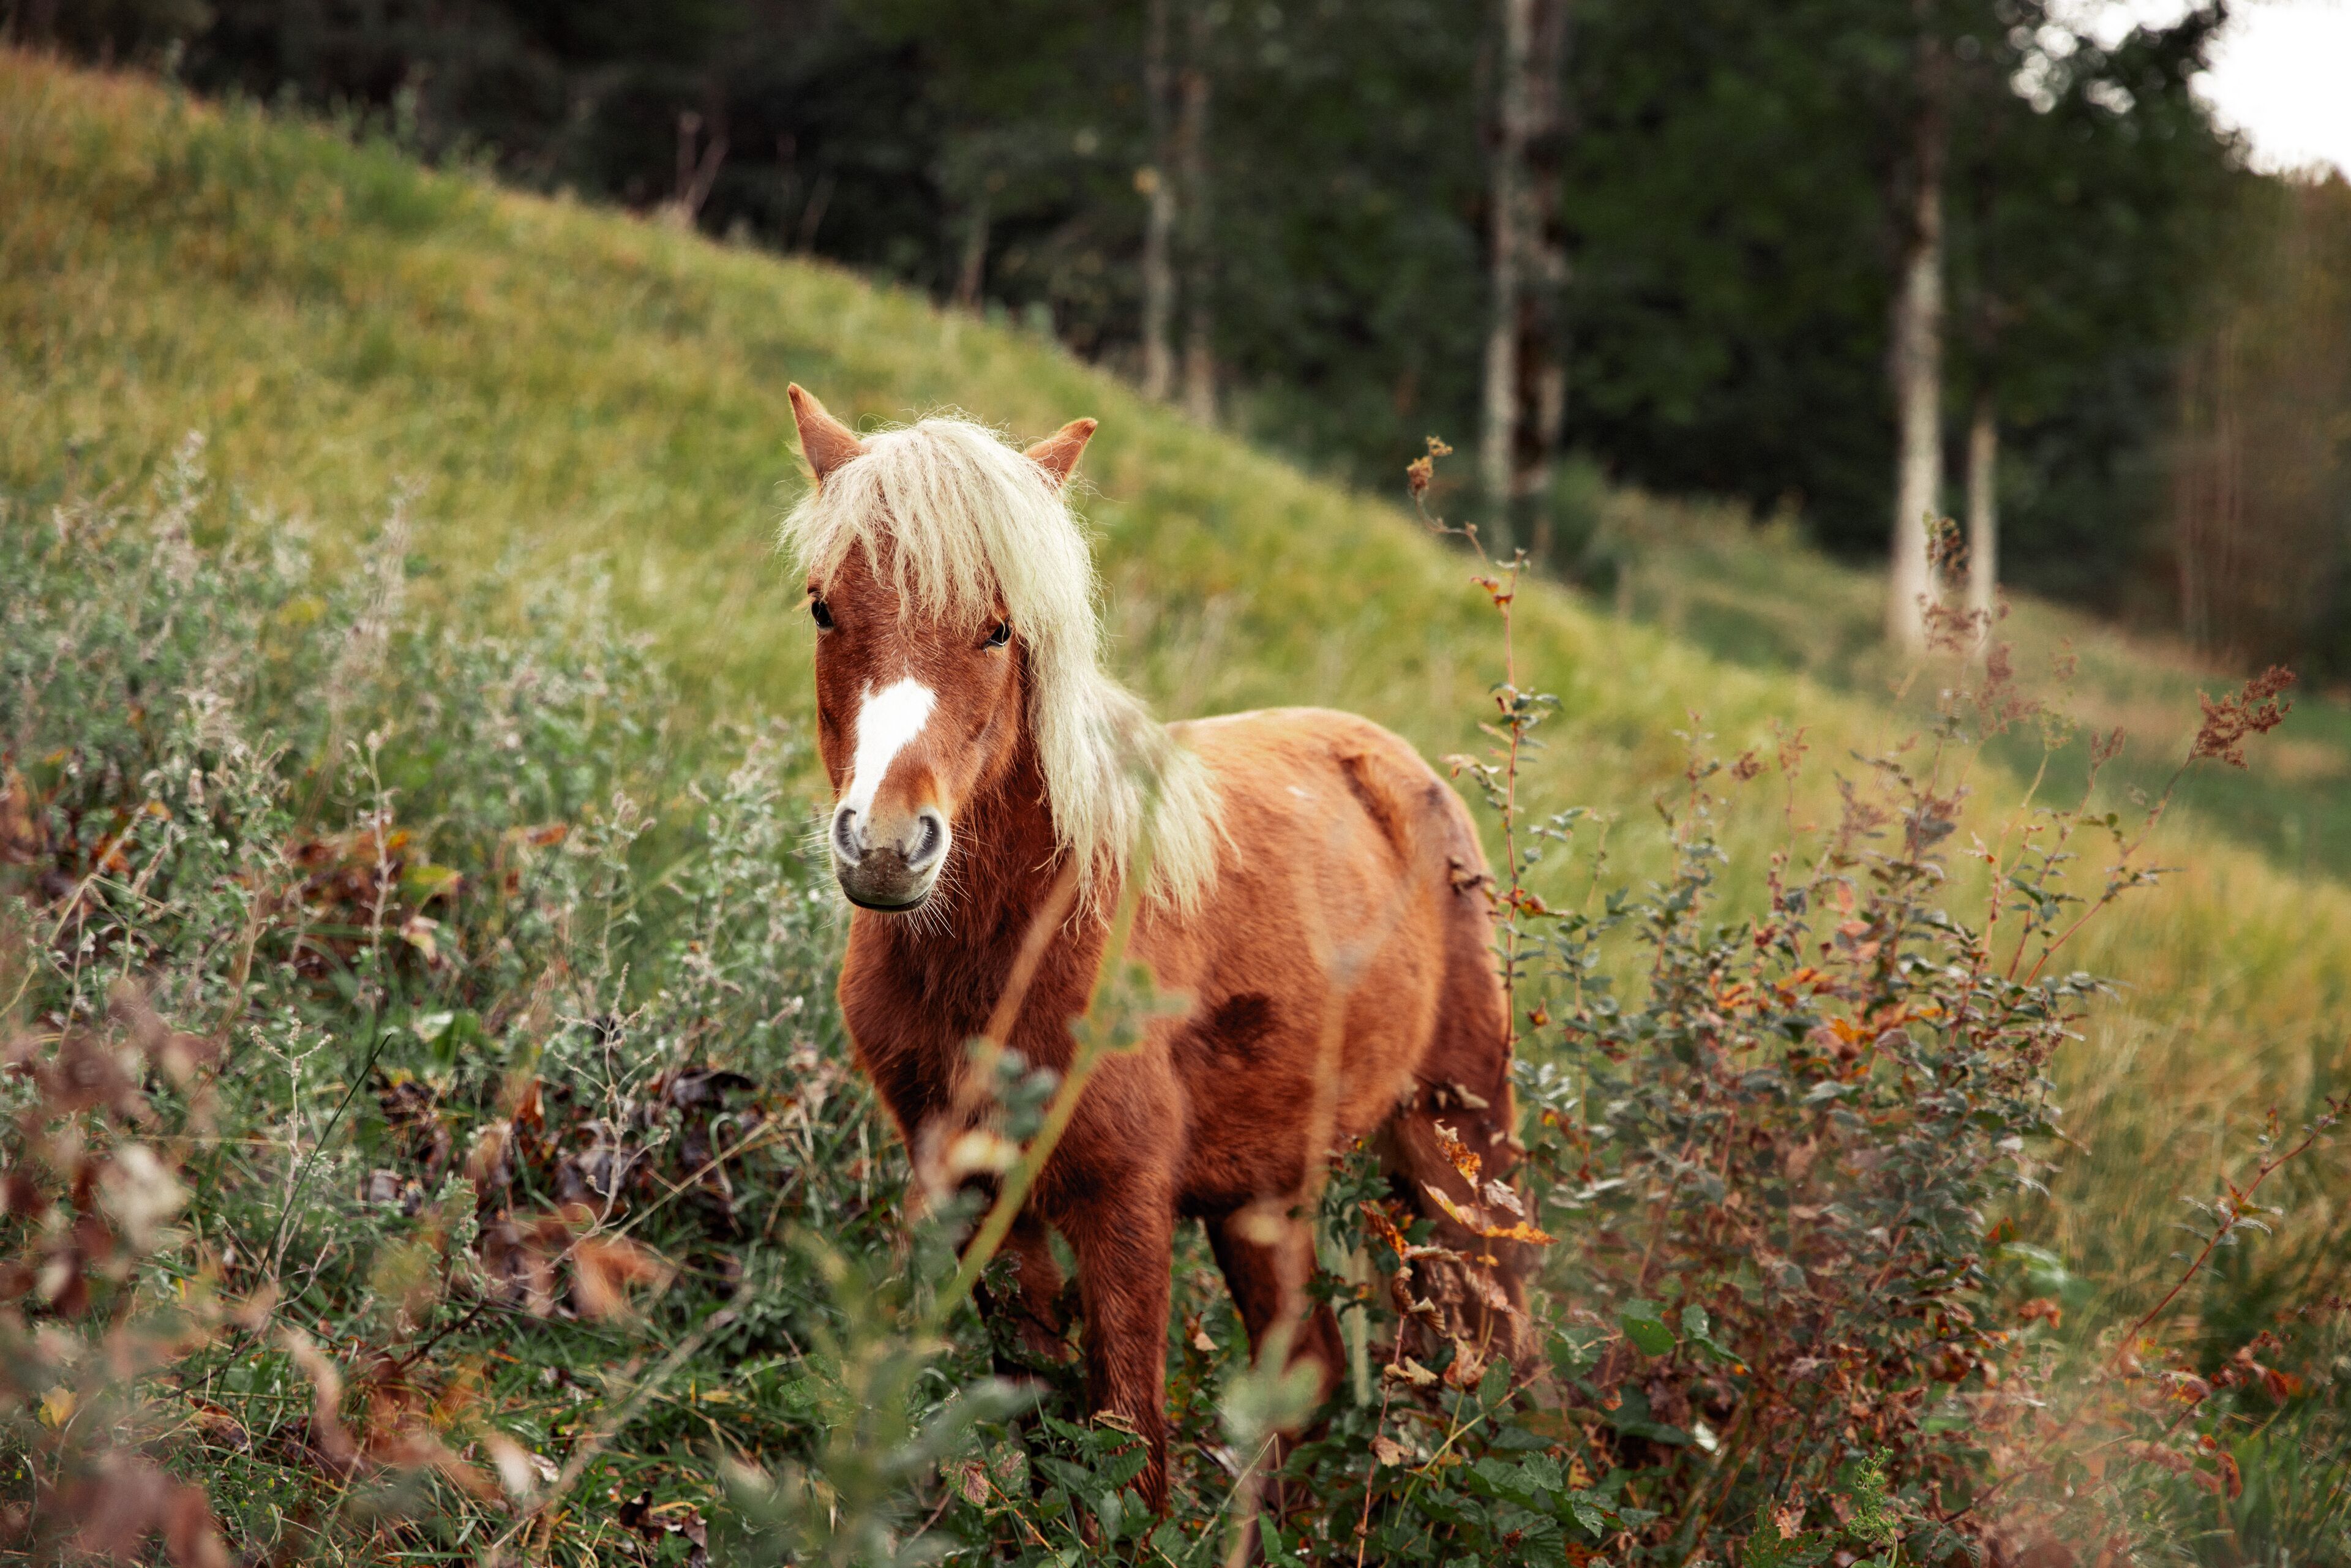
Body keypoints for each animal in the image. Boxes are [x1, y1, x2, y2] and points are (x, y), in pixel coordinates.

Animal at [780, 385, 1533, 1509]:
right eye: (826, 607)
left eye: (998, 629)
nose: (883, 843)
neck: (1019, 945)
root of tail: (1406, 771)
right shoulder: (973, 1186)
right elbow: (1041, 1410)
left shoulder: (1123, 1201)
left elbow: (1127, 1445)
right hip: (1266, 1194)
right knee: (1307, 1365)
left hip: (1459, 1145)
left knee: (1501, 1350)